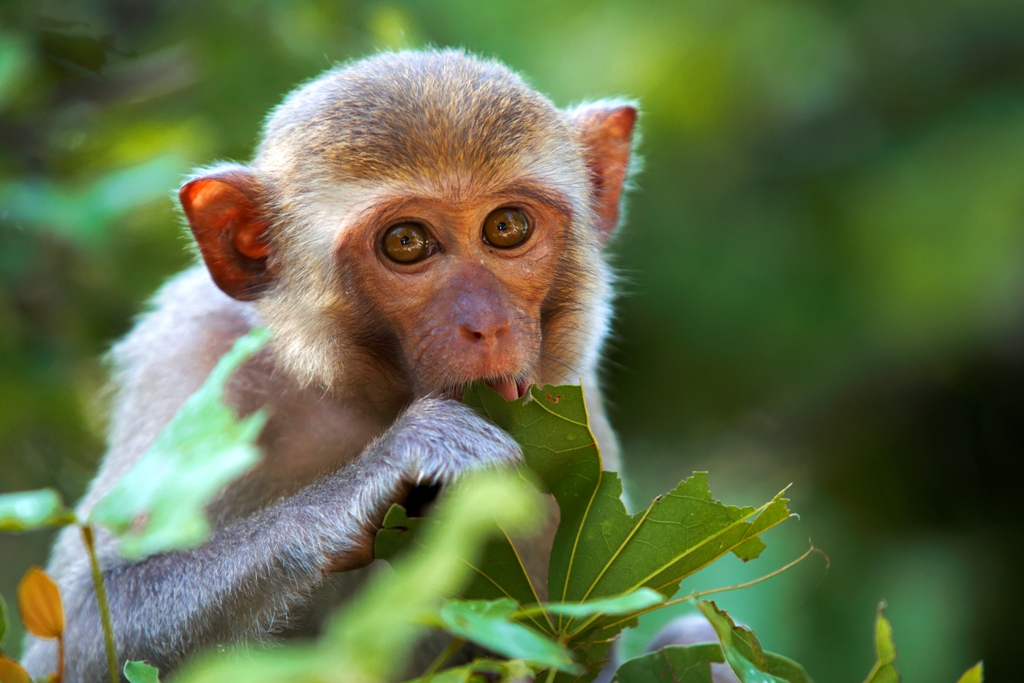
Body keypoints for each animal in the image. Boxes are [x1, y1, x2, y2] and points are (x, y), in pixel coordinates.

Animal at [20, 49, 637, 682]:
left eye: (506, 226)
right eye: (407, 241)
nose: (486, 325)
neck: (362, 398)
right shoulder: (188, 358)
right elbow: (78, 627)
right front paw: (393, 464)